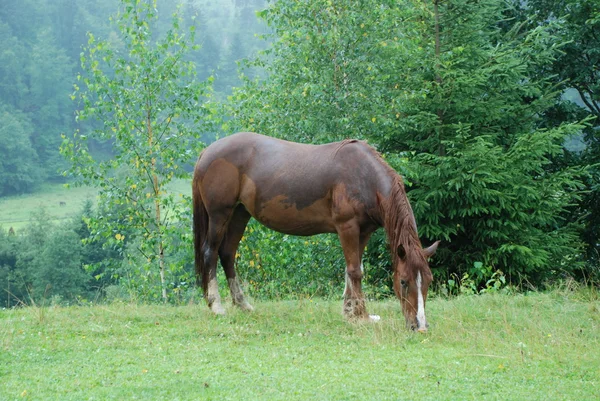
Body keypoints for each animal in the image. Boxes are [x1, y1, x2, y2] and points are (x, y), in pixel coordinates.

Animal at [195, 131, 438, 332]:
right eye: (404, 281)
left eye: (428, 280)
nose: (420, 326)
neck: (363, 175)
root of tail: (207, 152)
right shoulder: (347, 227)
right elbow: (354, 271)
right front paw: (361, 315)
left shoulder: (364, 231)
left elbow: (353, 269)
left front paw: (350, 312)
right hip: (219, 215)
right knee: (210, 253)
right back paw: (216, 306)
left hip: (240, 214)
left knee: (227, 254)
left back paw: (243, 304)